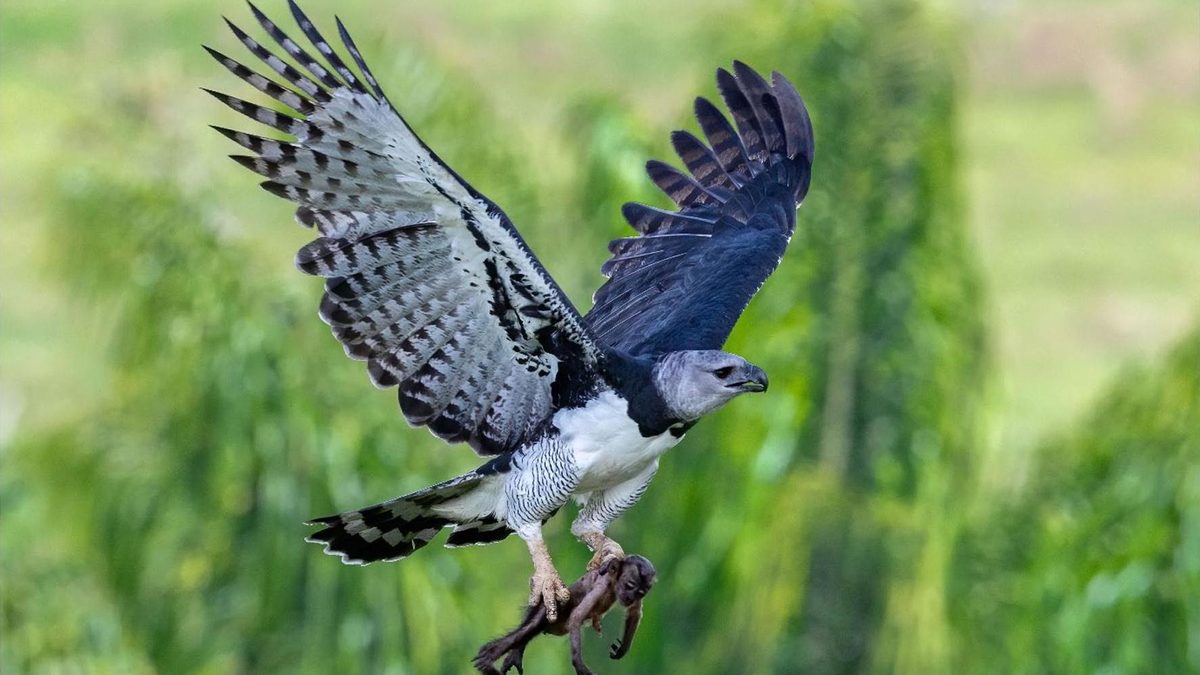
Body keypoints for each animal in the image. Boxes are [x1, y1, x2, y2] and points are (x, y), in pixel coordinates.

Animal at [473, 555, 657, 675]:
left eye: (641, 592)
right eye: (629, 585)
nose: (631, 597)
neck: (612, 585)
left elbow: (634, 613)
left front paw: (623, 648)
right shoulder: (600, 586)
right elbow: (577, 617)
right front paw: (579, 666)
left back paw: (512, 655)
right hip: (549, 605)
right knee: (532, 626)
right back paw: (488, 658)